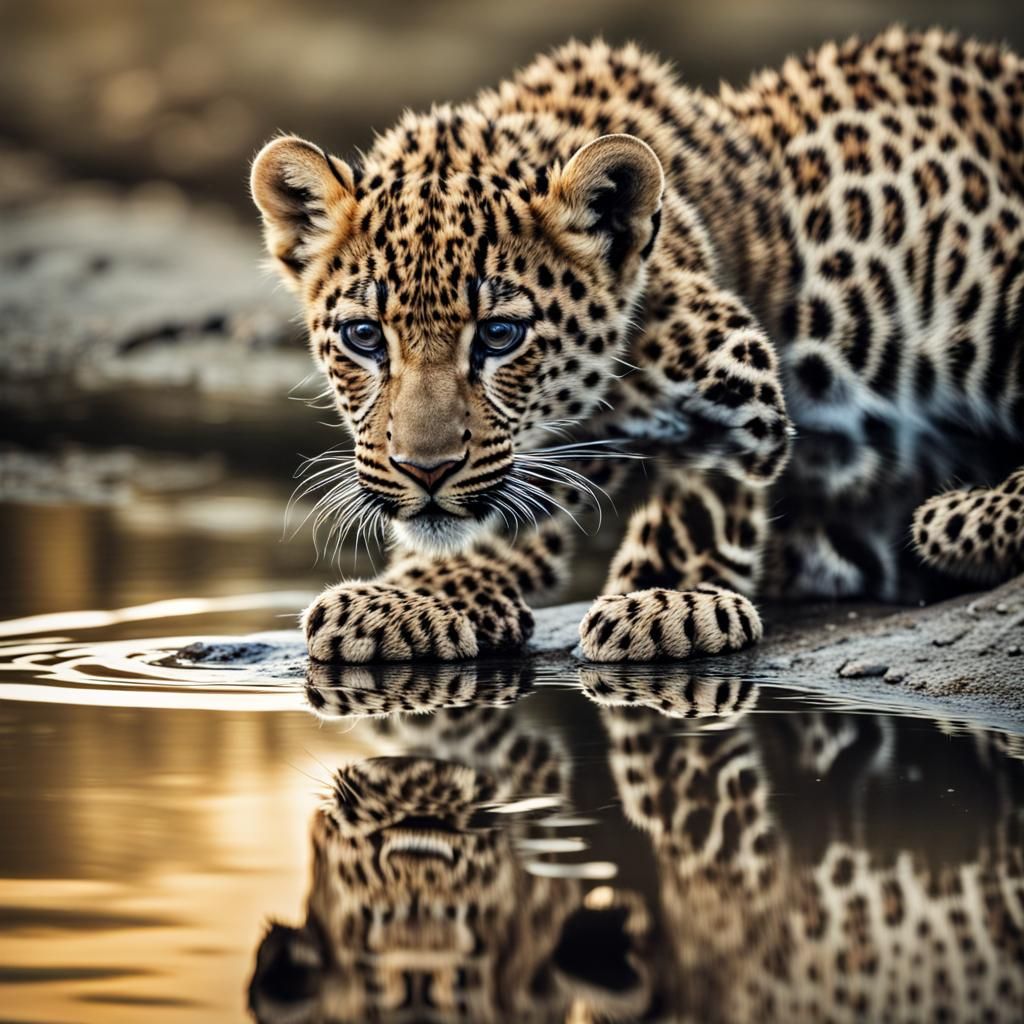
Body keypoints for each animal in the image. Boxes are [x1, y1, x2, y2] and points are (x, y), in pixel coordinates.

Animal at [250, 25, 1024, 664]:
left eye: (500, 335)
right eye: (364, 336)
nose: (425, 471)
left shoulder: (741, 378)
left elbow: (707, 487)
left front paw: (667, 602)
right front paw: (420, 595)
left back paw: (963, 516)